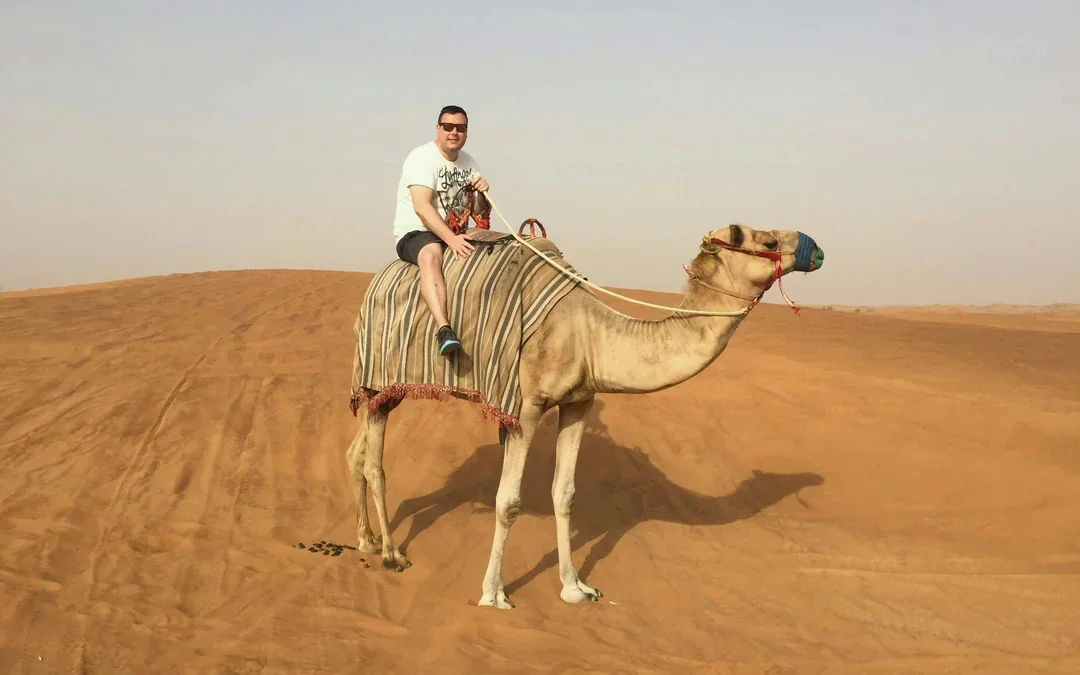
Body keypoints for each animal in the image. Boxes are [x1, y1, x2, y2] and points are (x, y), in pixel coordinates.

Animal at [344, 223, 824, 609]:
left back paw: (365, 539)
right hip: (379, 373)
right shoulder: (526, 408)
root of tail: (377, 279)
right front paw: (494, 594)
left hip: (382, 388)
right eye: (767, 241)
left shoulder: (579, 402)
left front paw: (575, 588)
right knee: (375, 461)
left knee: (357, 453)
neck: (590, 335)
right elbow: (508, 502)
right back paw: (392, 554)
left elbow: (565, 494)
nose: (816, 248)